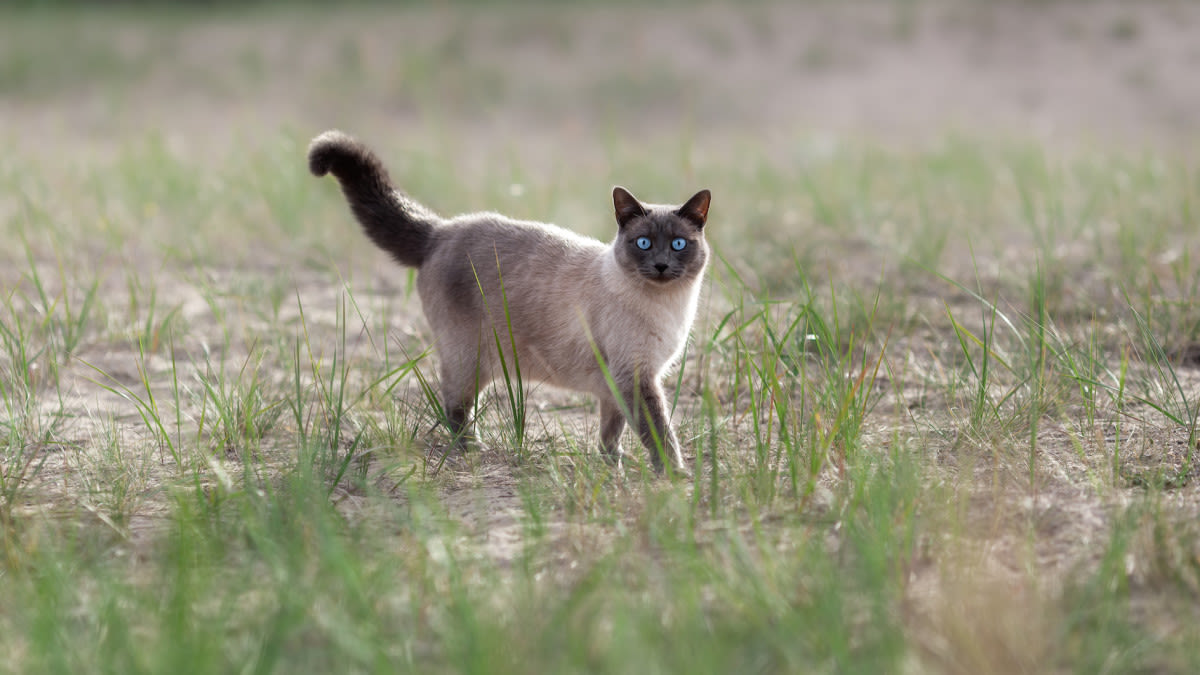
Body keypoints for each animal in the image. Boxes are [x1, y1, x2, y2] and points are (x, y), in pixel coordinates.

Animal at [304, 128, 710, 470]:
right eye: (643, 243)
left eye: (678, 244)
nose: (661, 265)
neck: (669, 307)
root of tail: (440, 231)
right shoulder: (637, 377)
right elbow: (658, 432)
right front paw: (675, 474)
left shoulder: (619, 384)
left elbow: (612, 432)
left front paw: (613, 466)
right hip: (469, 358)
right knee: (452, 406)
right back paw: (472, 449)